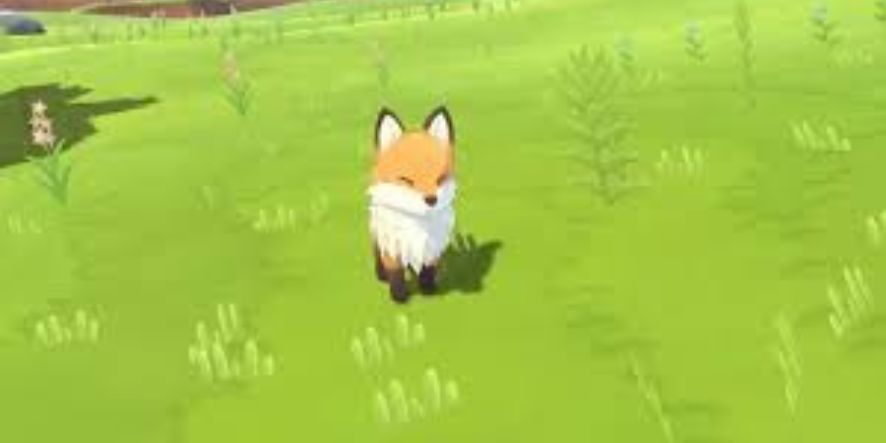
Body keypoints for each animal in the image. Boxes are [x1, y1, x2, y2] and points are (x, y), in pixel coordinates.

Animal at [368, 106, 457, 303]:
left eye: (440, 179)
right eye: (406, 180)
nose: (431, 200)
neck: (417, 223)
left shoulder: (432, 246)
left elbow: (428, 270)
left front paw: (427, 289)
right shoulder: (392, 246)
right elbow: (396, 274)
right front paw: (399, 296)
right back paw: (381, 275)